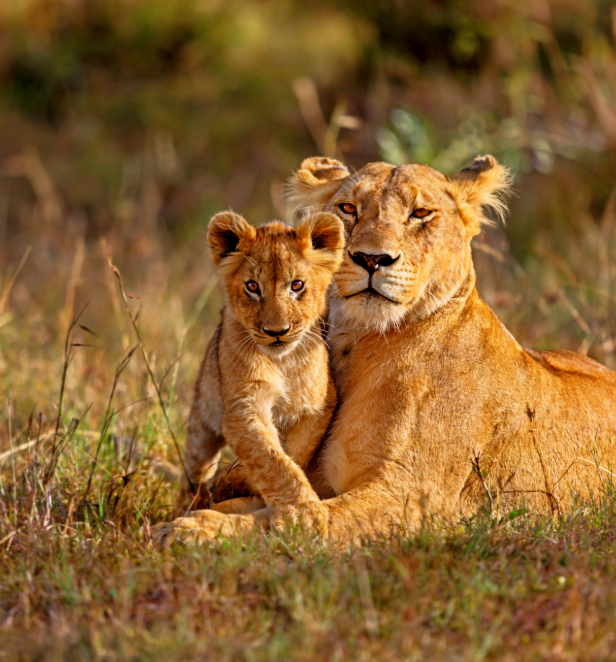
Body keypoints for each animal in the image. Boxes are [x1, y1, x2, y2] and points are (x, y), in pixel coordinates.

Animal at [154, 210, 344, 543]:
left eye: (297, 285)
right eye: (253, 286)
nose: (276, 331)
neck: (283, 361)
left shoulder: (318, 406)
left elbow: (293, 455)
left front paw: (244, 482)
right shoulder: (243, 408)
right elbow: (271, 460)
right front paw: (303, 516)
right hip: (201, 426)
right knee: (194, 474)